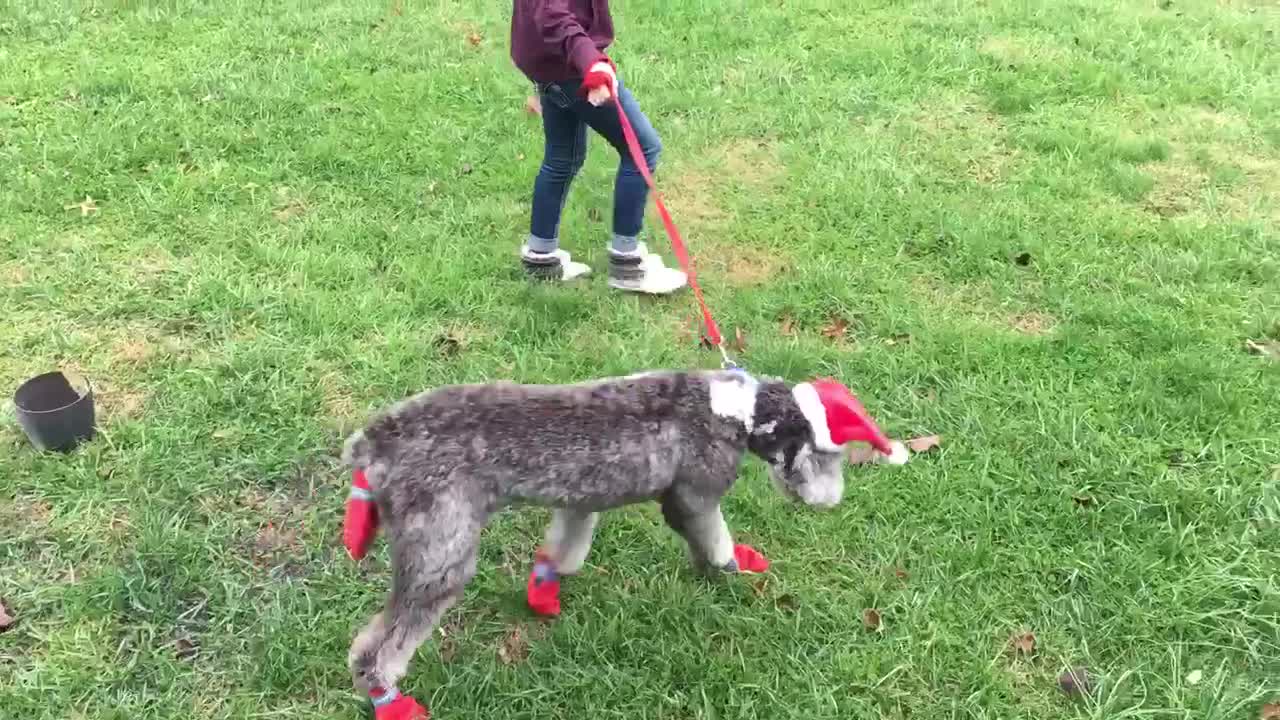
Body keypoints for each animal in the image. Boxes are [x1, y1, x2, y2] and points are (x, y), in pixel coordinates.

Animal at [335, 366, 906, 712]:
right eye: (825, 454)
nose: (833, 501)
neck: (731, 411)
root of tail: (374, 443)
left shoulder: (580, 500)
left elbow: (565, 549)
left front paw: (545, 588)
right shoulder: (694, 498)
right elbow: (713, 542)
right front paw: (731, 572)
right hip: (440, 557)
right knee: (377, 647)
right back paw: (388, 698)